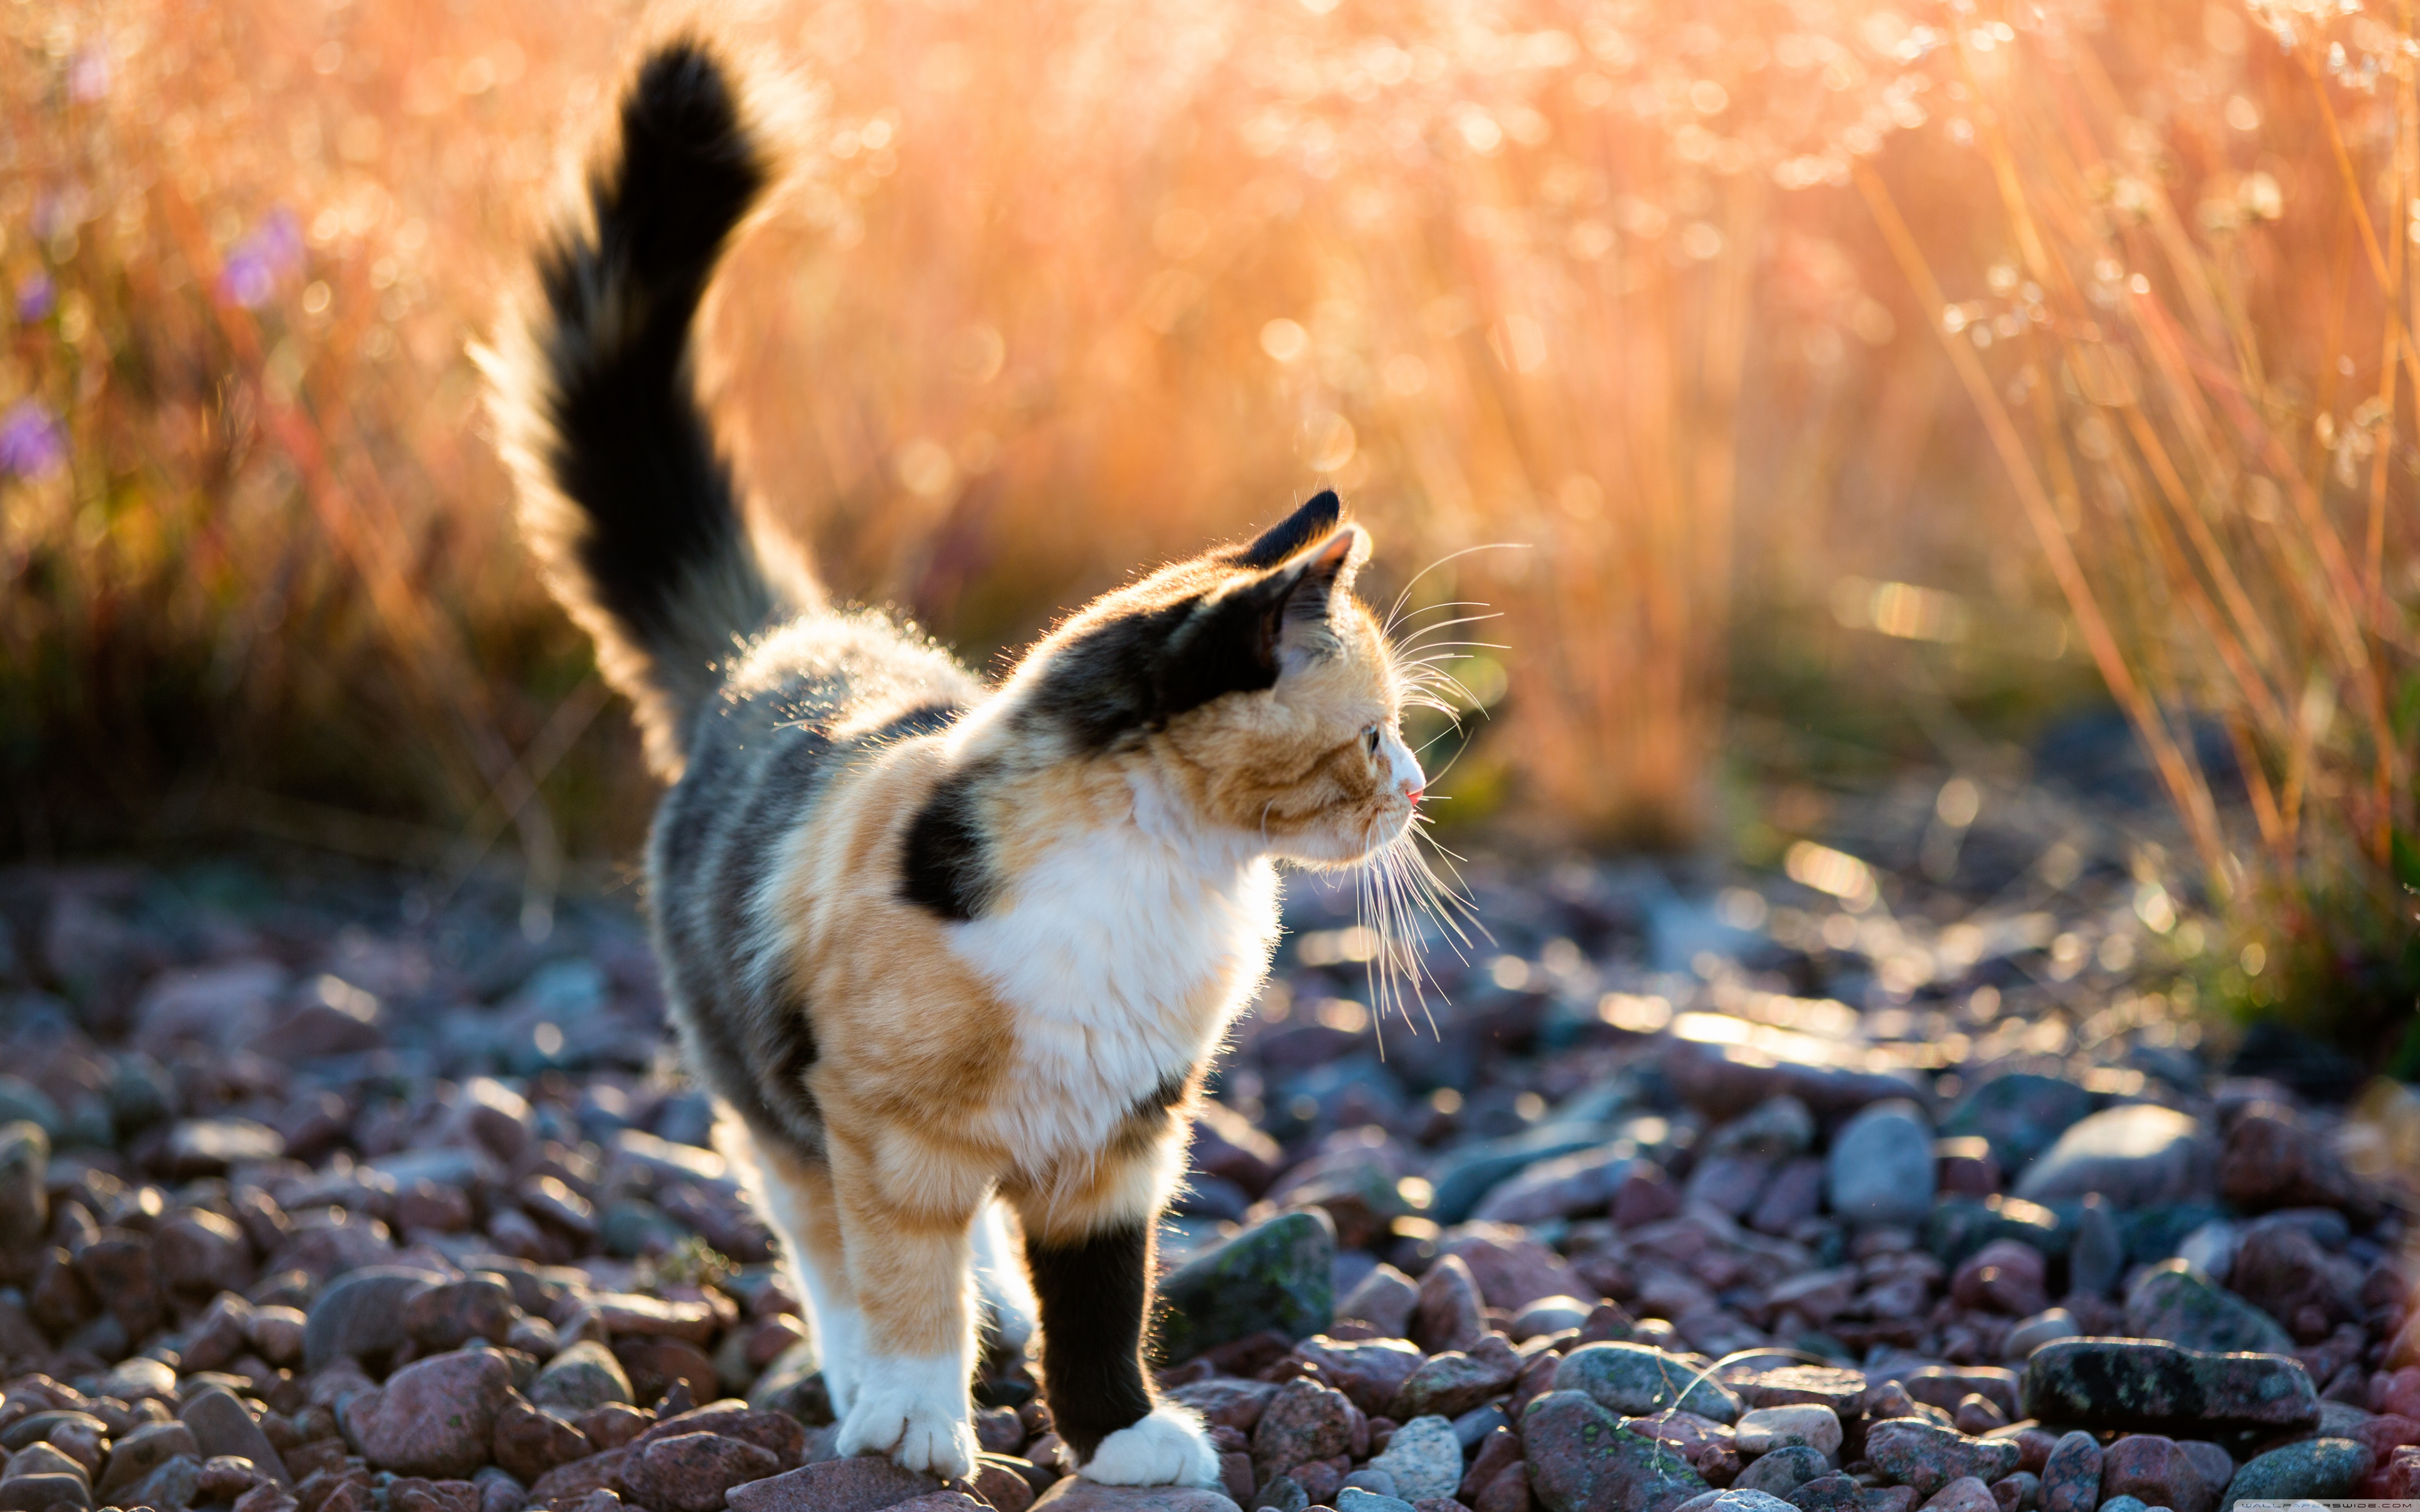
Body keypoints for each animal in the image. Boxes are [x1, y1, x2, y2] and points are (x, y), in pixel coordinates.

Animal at [481, 35, 1423, 1490]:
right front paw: (919, 1424)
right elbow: (901, 1278)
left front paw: (1120, 1435)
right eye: (1374, 735)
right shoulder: (885, 1128)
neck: (1157, 881)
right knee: (825, 1248)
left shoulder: (1123, 1140)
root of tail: (785, 642)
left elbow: (1099, 1302)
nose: (1418, 789)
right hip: (768, 1096)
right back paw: (867, 1382)